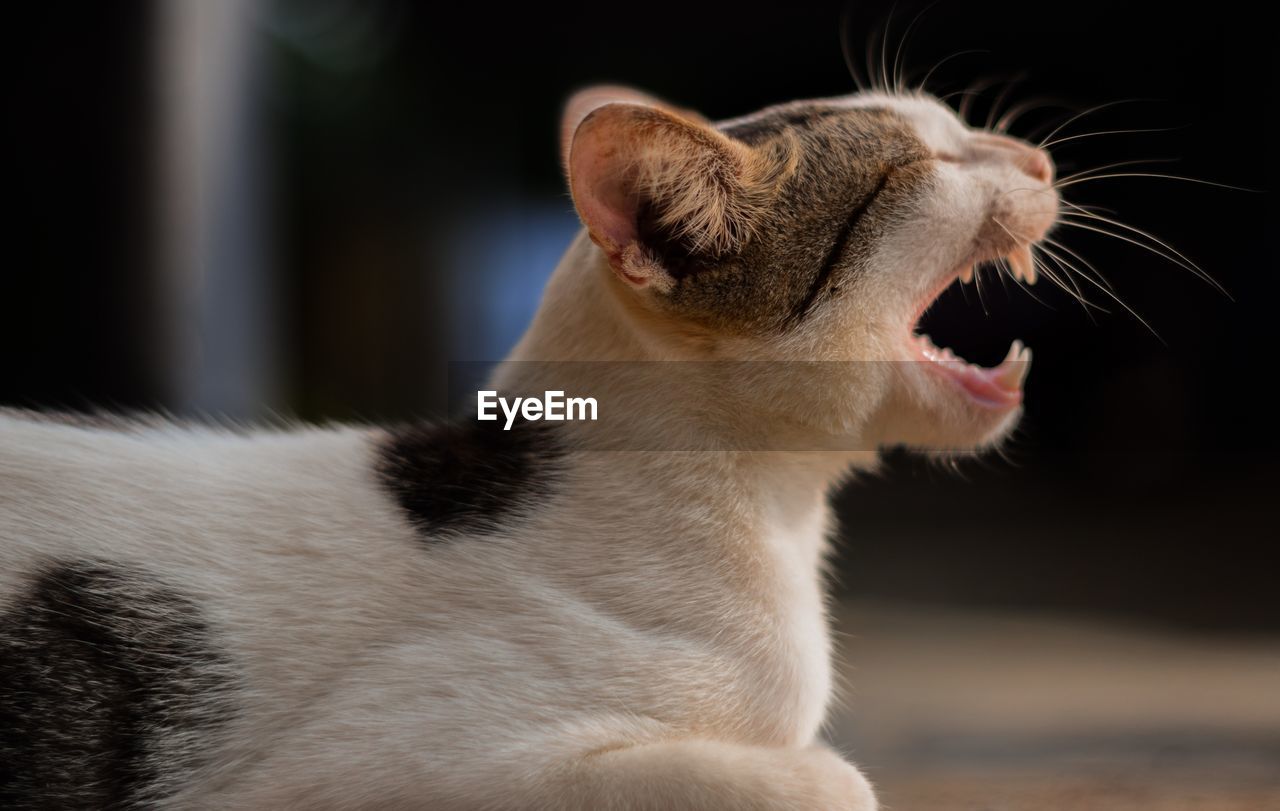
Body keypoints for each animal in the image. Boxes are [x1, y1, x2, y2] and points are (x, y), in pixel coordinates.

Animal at [0, 83, 1054, 808]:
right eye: (921, 164)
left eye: (963, 129)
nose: (1039, 160)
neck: (772, 515)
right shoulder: (380, 767)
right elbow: (833, 779)